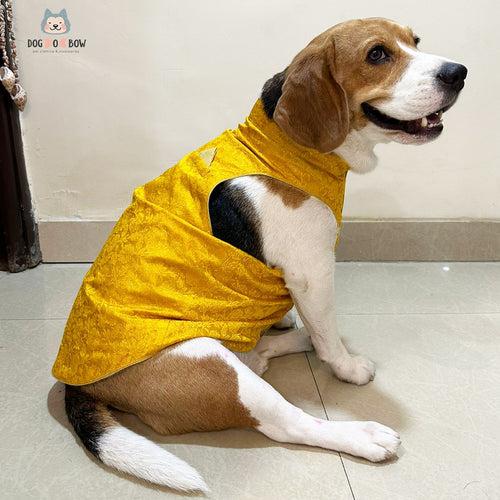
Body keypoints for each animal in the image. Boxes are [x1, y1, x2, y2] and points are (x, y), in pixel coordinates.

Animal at [60, 16, 466, 492]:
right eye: (377, 54)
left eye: (415, 41)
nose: (459, 72)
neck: (282, 144)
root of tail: (78, 386)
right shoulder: (313, 272)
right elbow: (329, 337)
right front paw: (345, 366)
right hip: (216, 369)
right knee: (288, 422)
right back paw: (361, 434)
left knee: (262, 354)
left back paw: (291, 336)